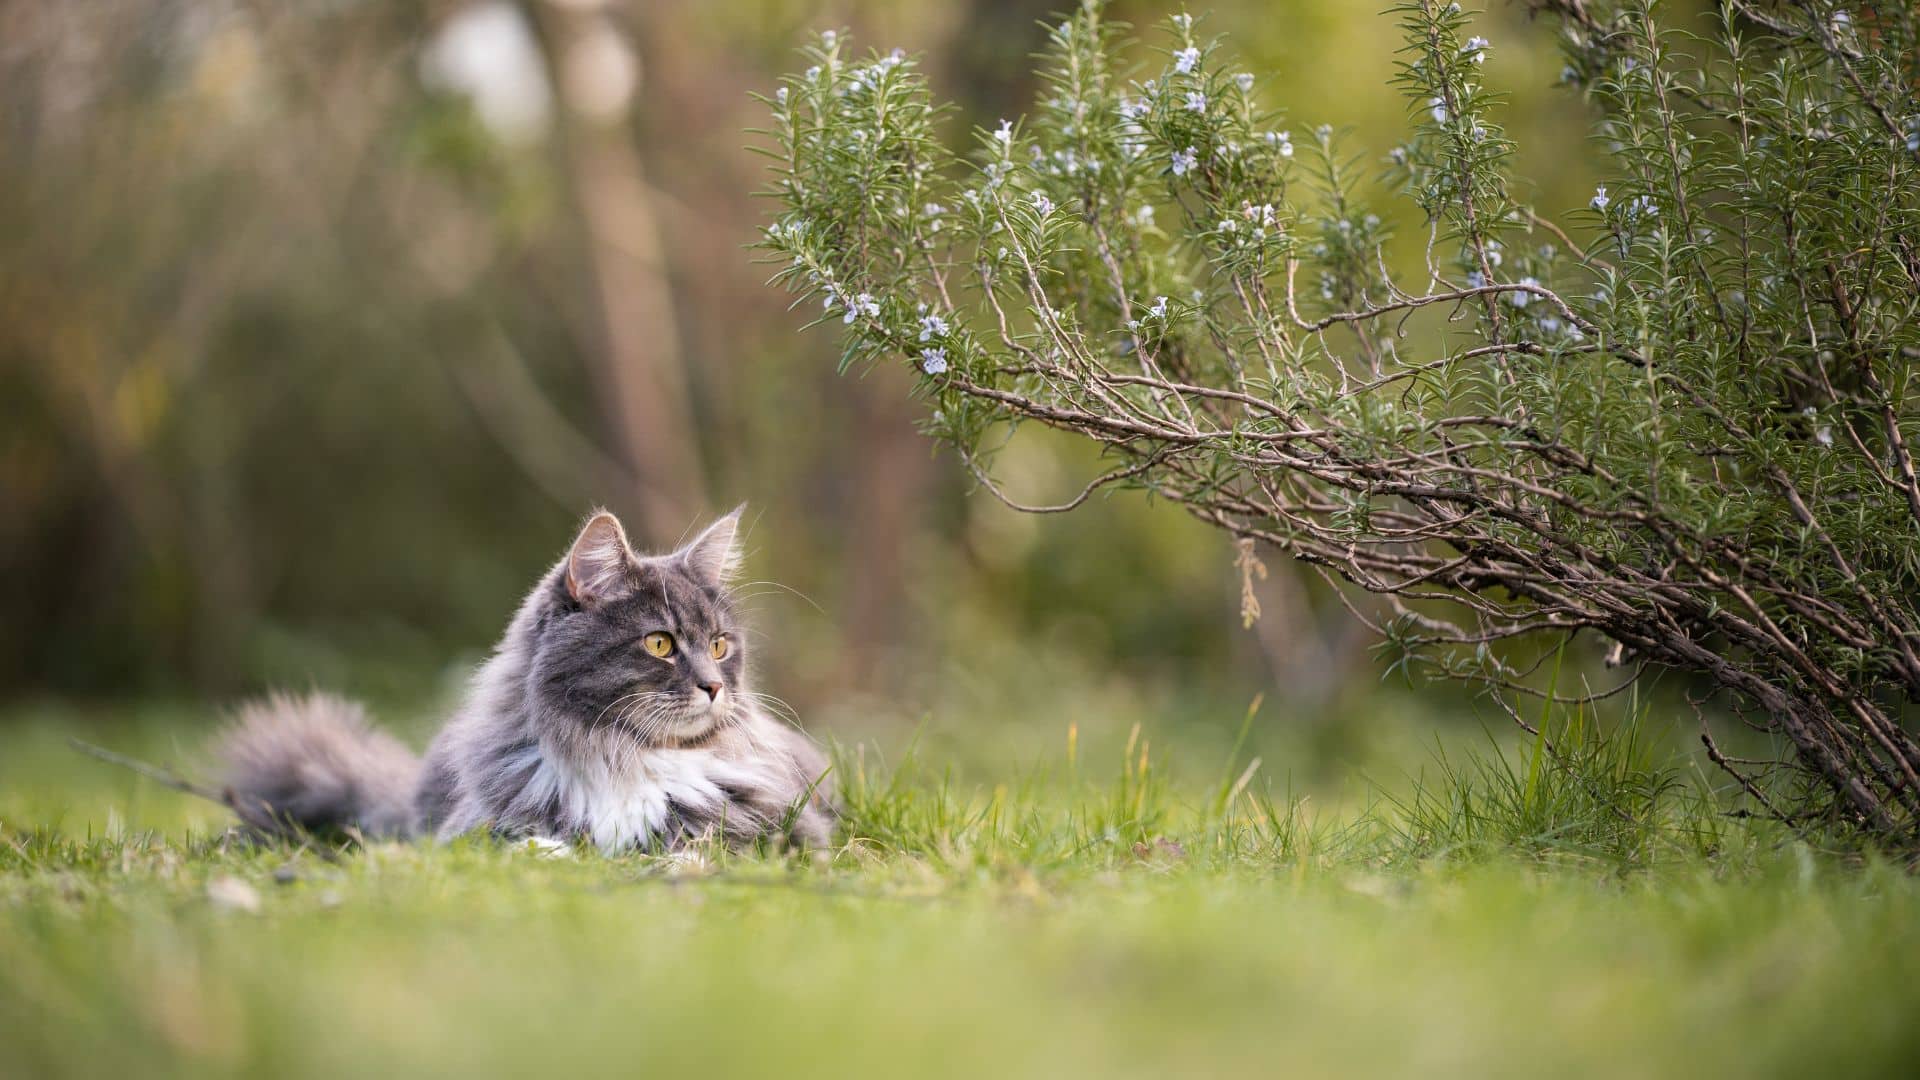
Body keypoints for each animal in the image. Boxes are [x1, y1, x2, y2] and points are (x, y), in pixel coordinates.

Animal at [216, 503, 833, 849]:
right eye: (660, 643)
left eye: (719, 645)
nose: (715, 686)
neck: (620, 754)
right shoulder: (468, 829)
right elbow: (522, 842)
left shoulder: (788, 825)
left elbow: (706, 839)